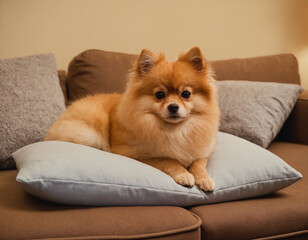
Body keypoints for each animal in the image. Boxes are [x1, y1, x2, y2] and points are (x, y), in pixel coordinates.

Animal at [45, 47, 219, 191]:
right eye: (159, 95)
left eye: (186, 94)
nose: (173, 107)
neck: (175, 130)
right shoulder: (140, 155)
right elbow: (168, 160)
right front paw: (184, 174)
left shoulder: (203, 151)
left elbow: (198, 163)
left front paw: (205, 179)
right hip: (90, 134)